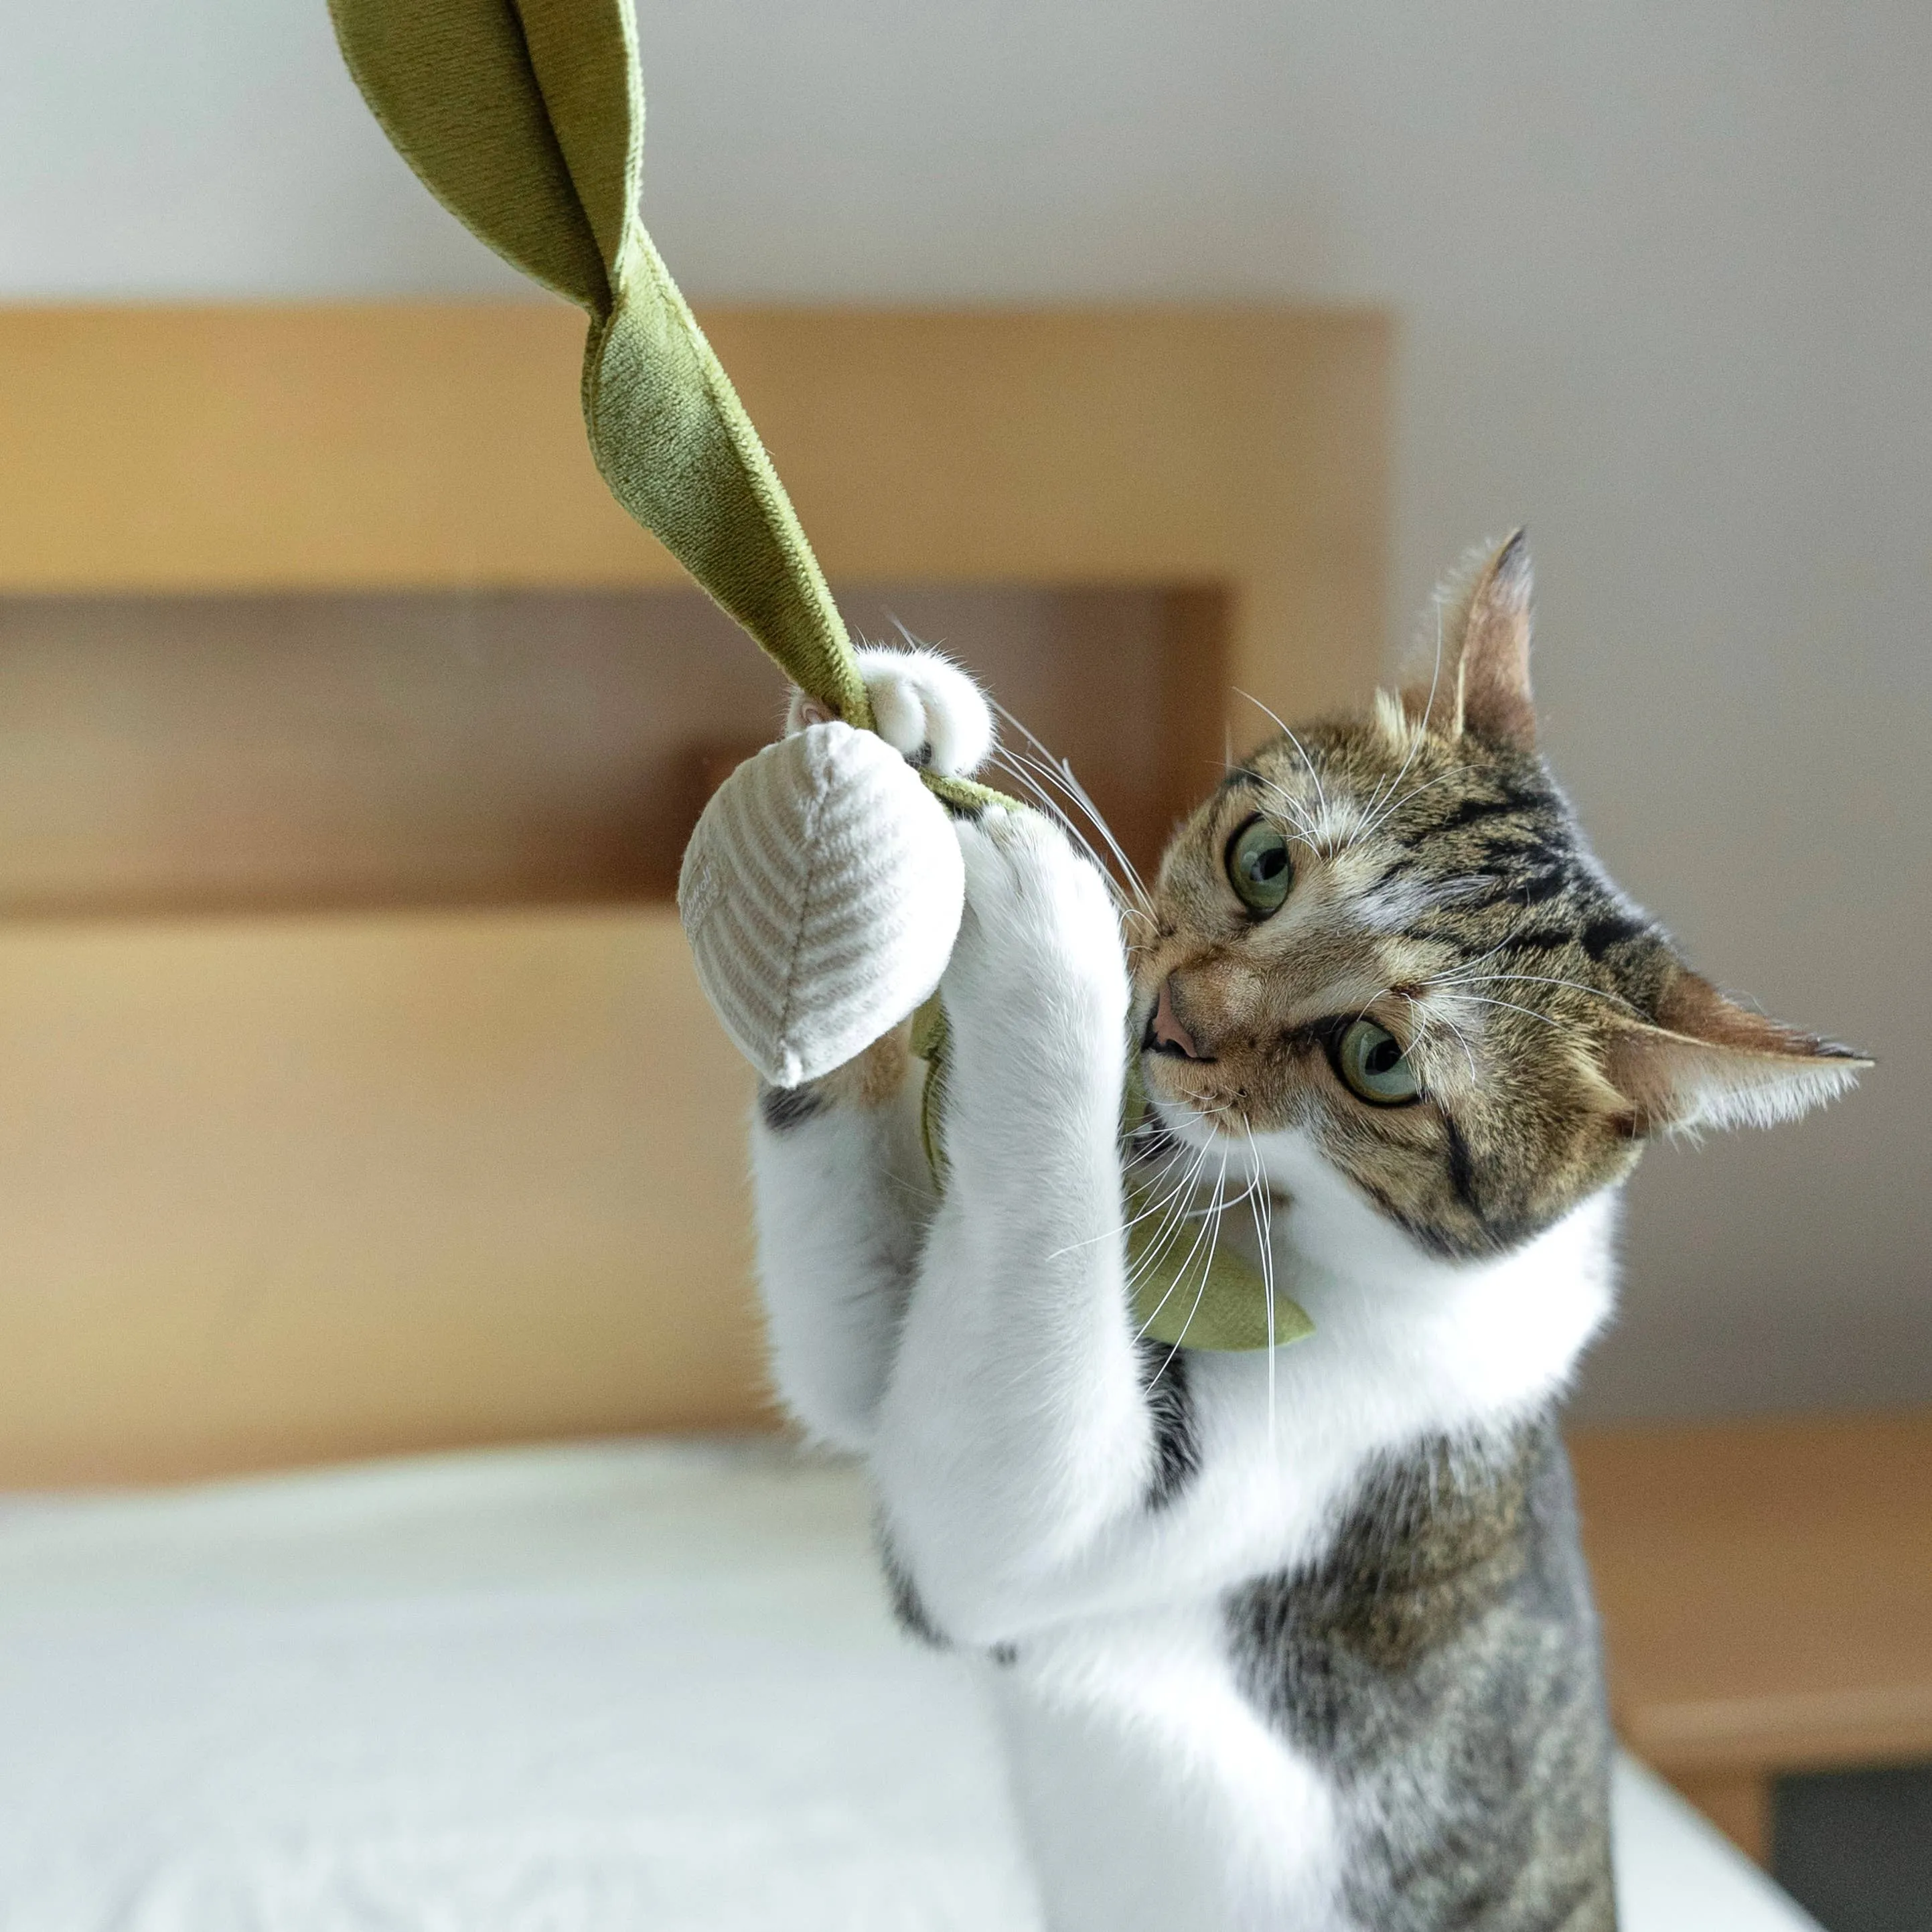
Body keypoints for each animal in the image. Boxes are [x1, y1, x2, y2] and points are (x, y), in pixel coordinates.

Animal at [745, 537, 1862, 1932]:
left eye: (1379, 1060)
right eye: (1265, 862)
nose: (1166, 1019)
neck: (1246, 1214)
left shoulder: (1187, 1498)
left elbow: (996, 1473)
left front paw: (1048, 934)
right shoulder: (888, 1360)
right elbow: (854, 1364)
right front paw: (891, 723)